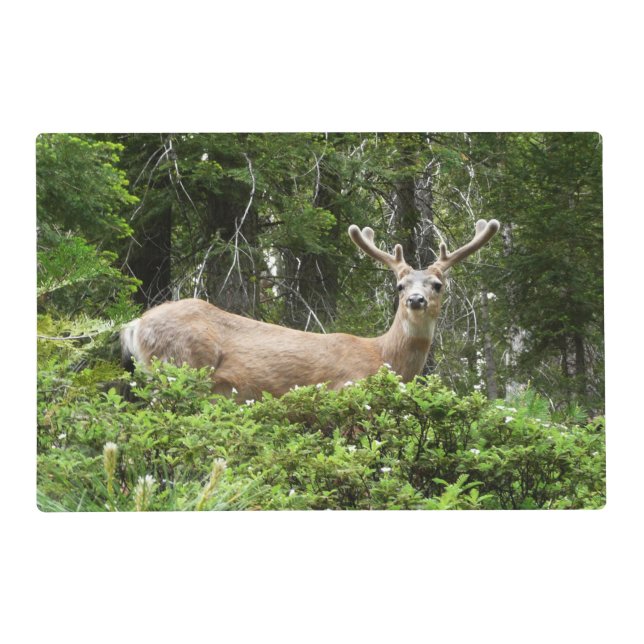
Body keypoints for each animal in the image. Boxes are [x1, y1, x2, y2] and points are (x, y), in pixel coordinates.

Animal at [120, 219, 499, 400]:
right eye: (399, 285)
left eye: (437, 285)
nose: (416, 300)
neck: (382, 357)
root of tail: (134, 325)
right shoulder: (346, 390)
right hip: (179, 364)